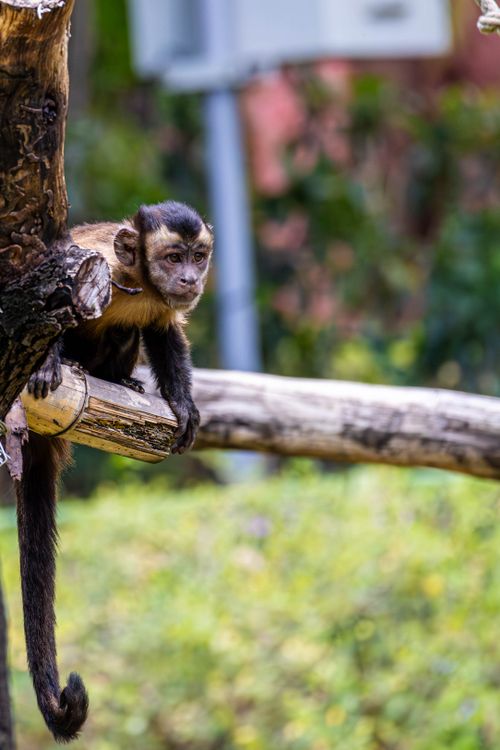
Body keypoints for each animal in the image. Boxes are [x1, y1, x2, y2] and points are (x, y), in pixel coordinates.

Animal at [16, 200, 214, 742]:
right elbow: (50, 311)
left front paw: (182, 404)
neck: (139, 280)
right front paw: (46, 363)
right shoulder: (96, 262)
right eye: (172, 257)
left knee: (129, 332)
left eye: (198, 256)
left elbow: (165, 332)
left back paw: (120, 380)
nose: (189, 278)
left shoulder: (164, 304)